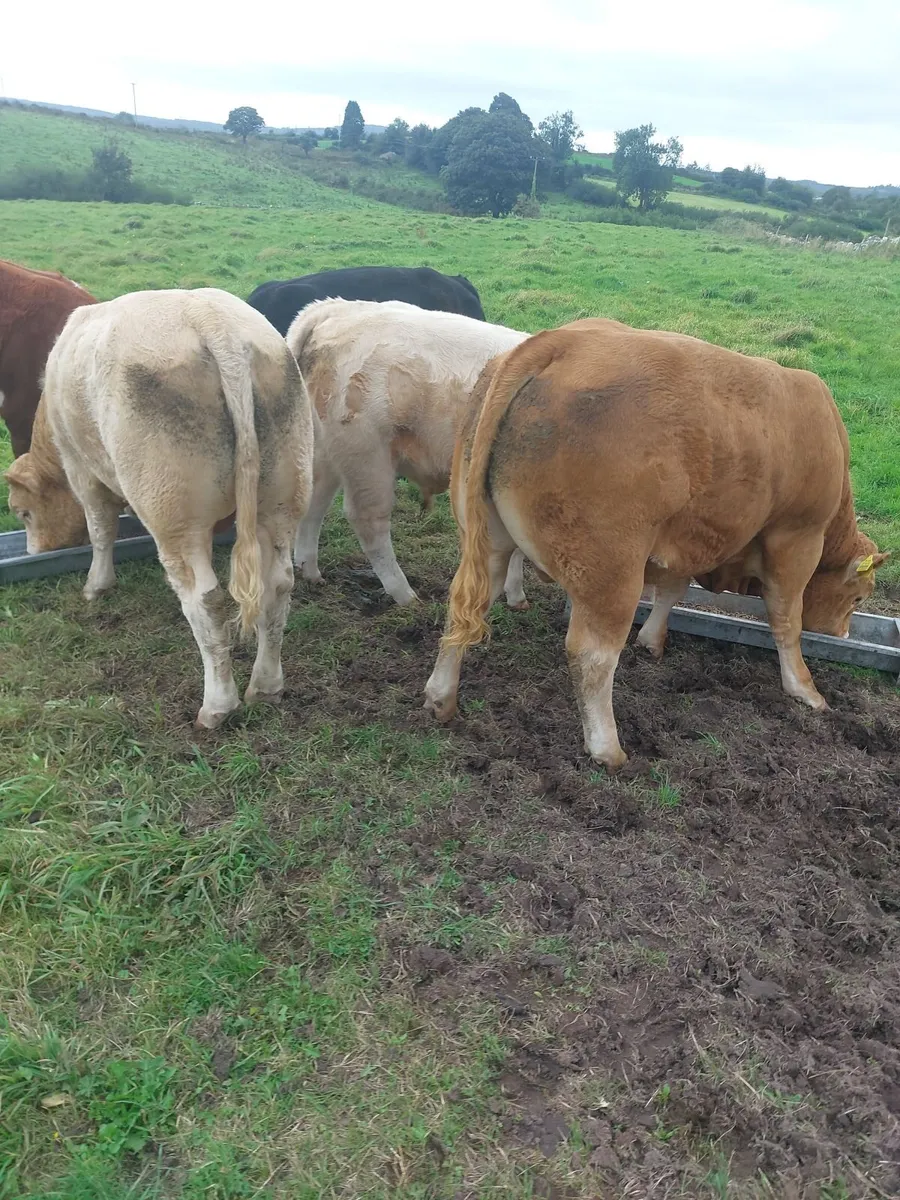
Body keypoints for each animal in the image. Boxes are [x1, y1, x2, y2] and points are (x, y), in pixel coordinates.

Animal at [4, 288, 313, 730]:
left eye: (23, 512)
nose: (33, 550)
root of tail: (213, 322)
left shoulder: (82, 469)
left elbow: (101, 529)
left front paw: (96, 585)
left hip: (175, 513)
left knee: (206, 601)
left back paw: (218, 705)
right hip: (283, 495)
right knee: (278, 586)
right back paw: (266, 687)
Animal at [285, 298, 529, 607]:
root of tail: (339, 308)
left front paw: (515, 593)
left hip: (327, 450)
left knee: (315, 499)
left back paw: (309, 569)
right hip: (367, 456)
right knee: (368, 520)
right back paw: (404, 593)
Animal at [424, 318, 888, 772]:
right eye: (858, 596)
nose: (842, 633)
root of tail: (562, 341)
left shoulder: (684, 537)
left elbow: (672, 590)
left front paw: (652, 639)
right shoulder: (796, 538)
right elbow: (787, 620)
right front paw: (805, 689)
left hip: (489, 543)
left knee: (463, 606)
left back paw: (441, 697)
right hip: (611, 570)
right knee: (592, 655)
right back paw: (607, 749)